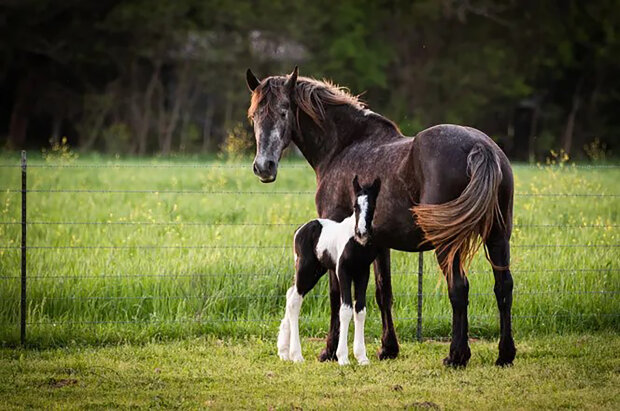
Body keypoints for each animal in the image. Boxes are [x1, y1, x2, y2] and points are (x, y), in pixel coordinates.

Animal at [278, 177, 380, 366]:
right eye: (355, 205)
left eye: (372, 205)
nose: (362, 233)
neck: (355, 243)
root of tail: (299, 230)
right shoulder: (343, 272)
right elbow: (345, 310)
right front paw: (343, 357)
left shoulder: (363, 273)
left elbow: (360, 310)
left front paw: (362, 357)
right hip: (305, 269)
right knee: (295, 300)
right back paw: (296, 355)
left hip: (316, 272)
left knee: (290, 293)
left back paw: (283, 351)